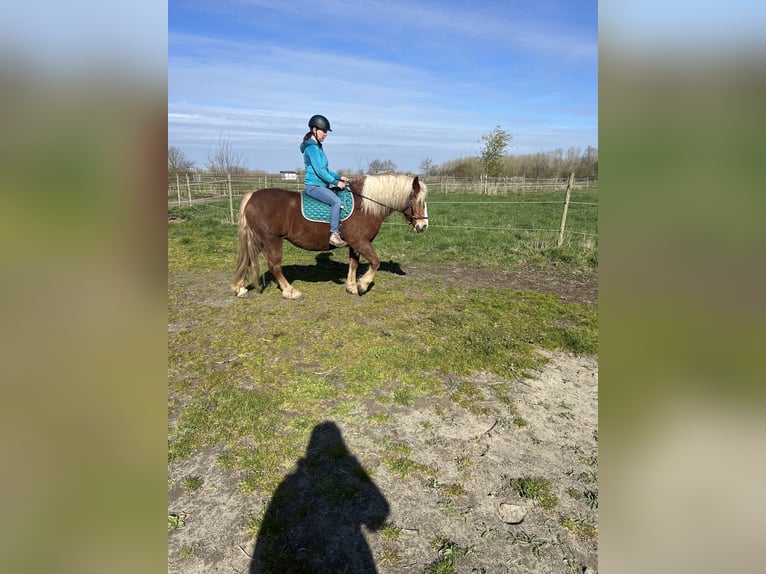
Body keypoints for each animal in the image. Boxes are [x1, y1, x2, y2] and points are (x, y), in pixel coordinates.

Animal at [231, 173, 429, 299]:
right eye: (418, 200)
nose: (423, 226)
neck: (364, 205)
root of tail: (252, 196)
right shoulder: (361, 242)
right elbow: (375, 262)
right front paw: (362, 285)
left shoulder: (355, 243)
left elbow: (353, 263)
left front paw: (351, 287)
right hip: (272, 240)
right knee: (274, 265)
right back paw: (290, 291)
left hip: (258, 240)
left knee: (247, 259)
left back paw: (239, 288)